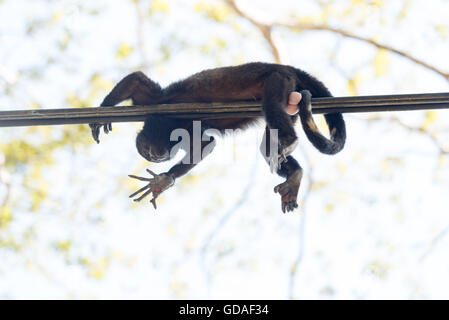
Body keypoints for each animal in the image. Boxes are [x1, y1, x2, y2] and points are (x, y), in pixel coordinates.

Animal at [89, 62, 344, 212]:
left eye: (155, 154)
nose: (156, 156)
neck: (167, 121)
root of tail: (285, 66)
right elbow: (136, 80)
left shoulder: (165, 107)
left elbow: (137, 80)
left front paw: (163, 180)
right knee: (269, 147)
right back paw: (295, 176)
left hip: (280, 79)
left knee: (271, 104)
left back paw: (290, 141)